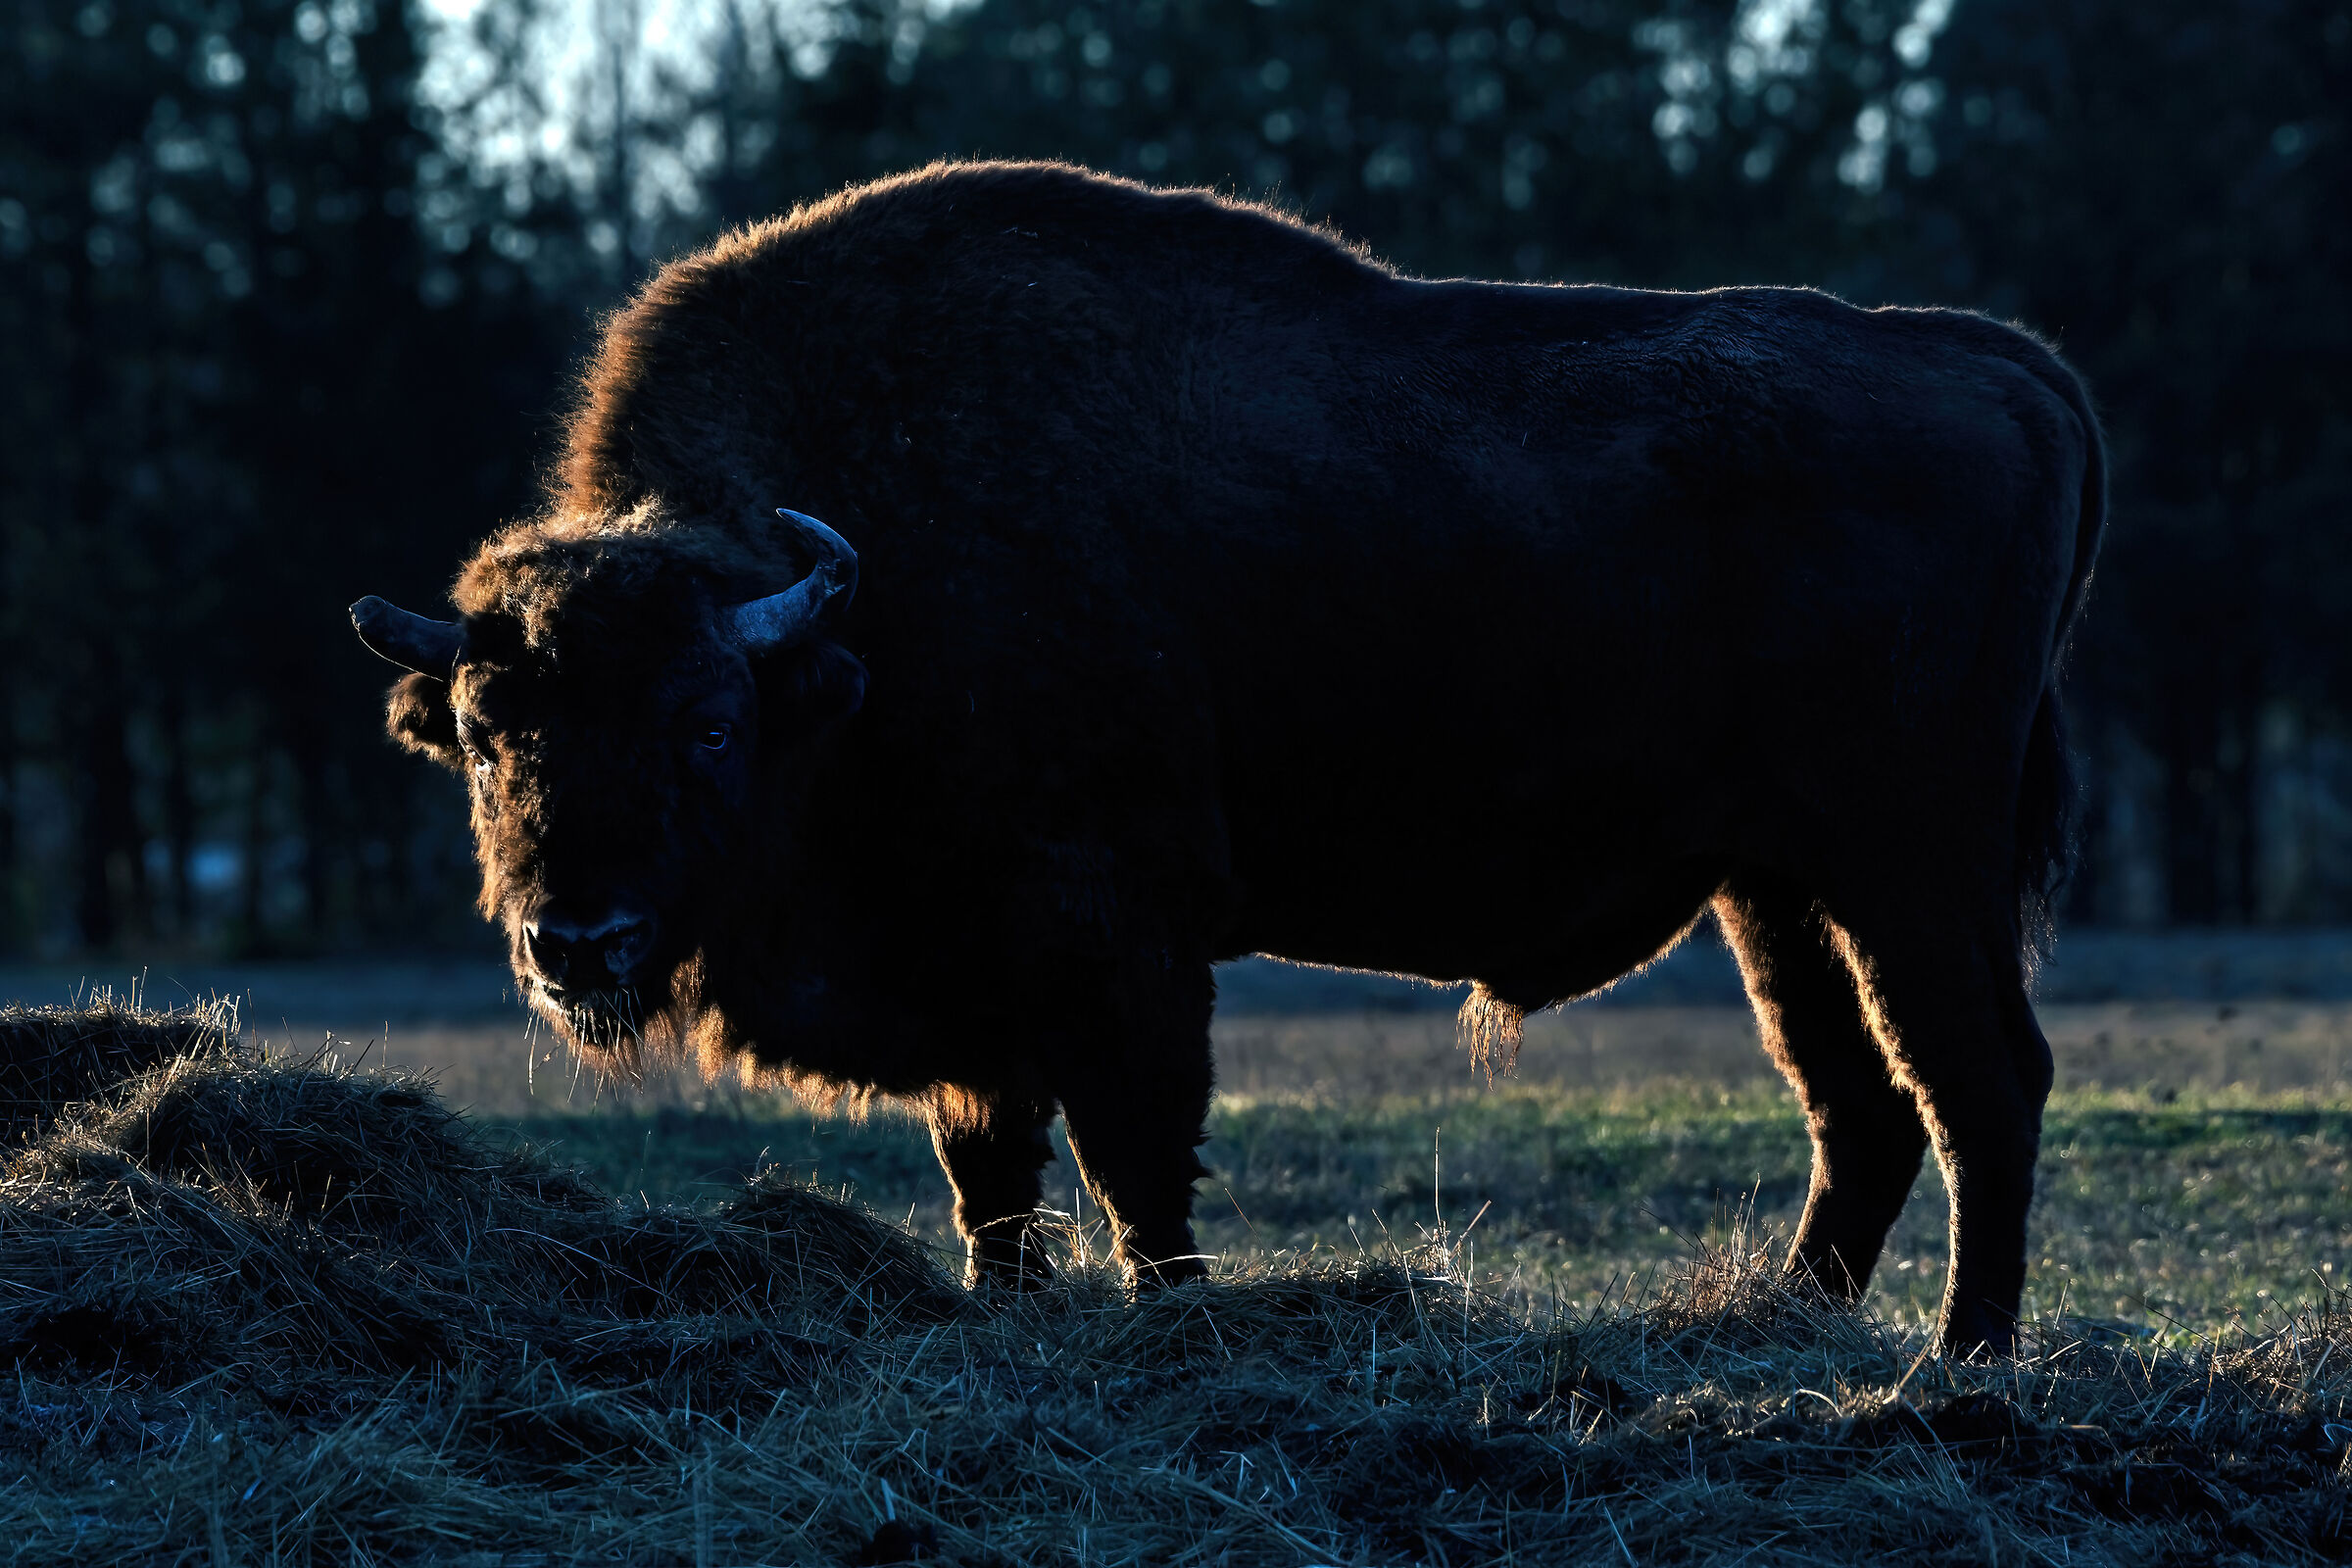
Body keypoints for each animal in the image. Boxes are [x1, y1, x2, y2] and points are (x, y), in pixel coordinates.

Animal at [352, 161, 2103, 1355]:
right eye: (489, 737)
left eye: (707, 724)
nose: (575, 943)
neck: (858, 619)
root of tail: (1993, 361)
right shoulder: (982, 985)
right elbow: (991, 1168)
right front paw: (1005, 1310)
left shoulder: (1110, 938)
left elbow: (1135, 1155)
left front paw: (1170, 1320)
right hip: (1778, 889)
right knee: (1858, 1101)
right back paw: (1776, 1332)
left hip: (1908, 865)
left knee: (1978, 1082)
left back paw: (1962, 1365)